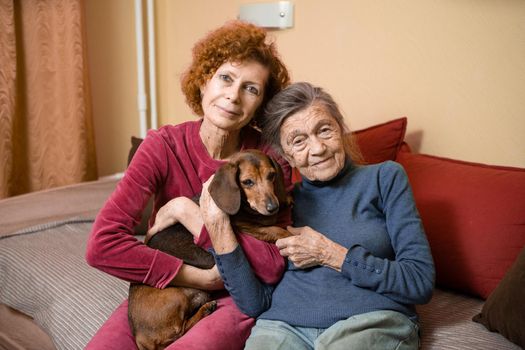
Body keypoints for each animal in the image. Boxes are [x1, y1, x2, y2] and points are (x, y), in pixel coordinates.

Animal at [127, 150, 290, 350]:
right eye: (247, 182)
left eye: (272, 175)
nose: (272, 207)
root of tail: (139, 338)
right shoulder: (246, 228)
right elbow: (276, 230)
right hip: (175, 298)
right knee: (179, 331)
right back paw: (205, 310)